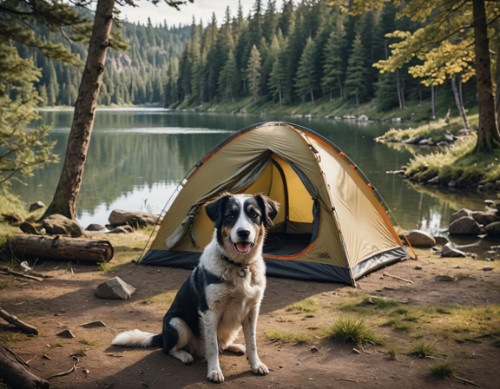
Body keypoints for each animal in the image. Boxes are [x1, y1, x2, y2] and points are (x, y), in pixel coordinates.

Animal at [111, 192, 280, 380]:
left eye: (254, 214)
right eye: (230, 215)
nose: (243, 233)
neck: (239, 266)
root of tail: (162, 335)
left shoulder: (252, 311)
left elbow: (252, 343)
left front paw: (256, 364)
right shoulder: (210, 311)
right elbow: (212, 347)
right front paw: (214, 371)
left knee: (222, 343)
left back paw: (234, 346)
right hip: (177, 323)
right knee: (169, 349)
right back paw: (185, 355)